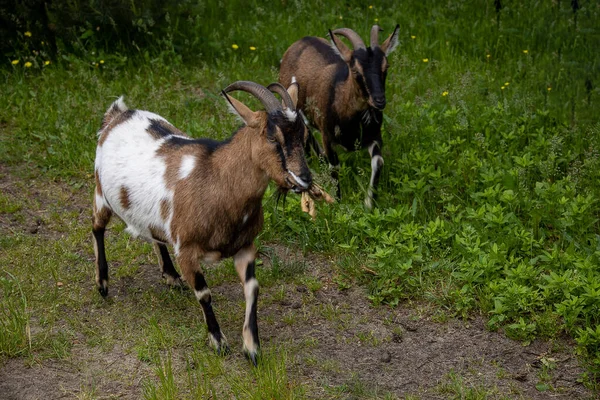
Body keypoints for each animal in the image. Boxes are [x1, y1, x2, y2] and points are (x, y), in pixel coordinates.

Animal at [93, 79, 312, 364]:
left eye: (304, 137)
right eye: (273, 137)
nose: (304, 179)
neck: (216, 180)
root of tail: (119, 114)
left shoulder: (245, 246)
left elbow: (252, 287)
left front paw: (252, 347)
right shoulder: (186, 250)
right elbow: (204, 293)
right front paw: (218, 342)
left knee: (155, 235)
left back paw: (171, 276)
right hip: (101, 193)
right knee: (97, 228)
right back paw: (103, 284)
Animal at [280, 24, 398, 209]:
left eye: (386, 67)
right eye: (355, 71)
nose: (379, 100)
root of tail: (301, 41)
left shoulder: (373, 136)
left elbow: (378, 161)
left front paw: (369, 203)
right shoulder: (328, 136)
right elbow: (334, 167)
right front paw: (338, 202)